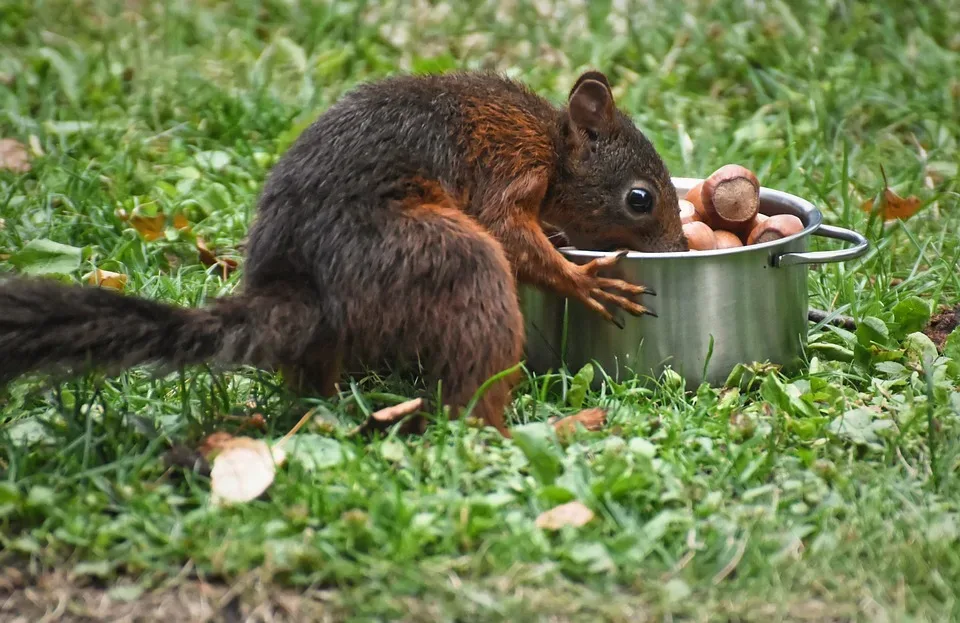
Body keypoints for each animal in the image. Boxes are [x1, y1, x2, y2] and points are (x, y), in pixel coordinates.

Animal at [0, 70, 688, 436]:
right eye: (639, 198)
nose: (680, 248)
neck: (551, 143)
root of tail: (306, 296)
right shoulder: (509, 166)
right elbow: (508, 230)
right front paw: (582, 280)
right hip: (435, 257)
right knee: (467, 381)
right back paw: (512, 429)